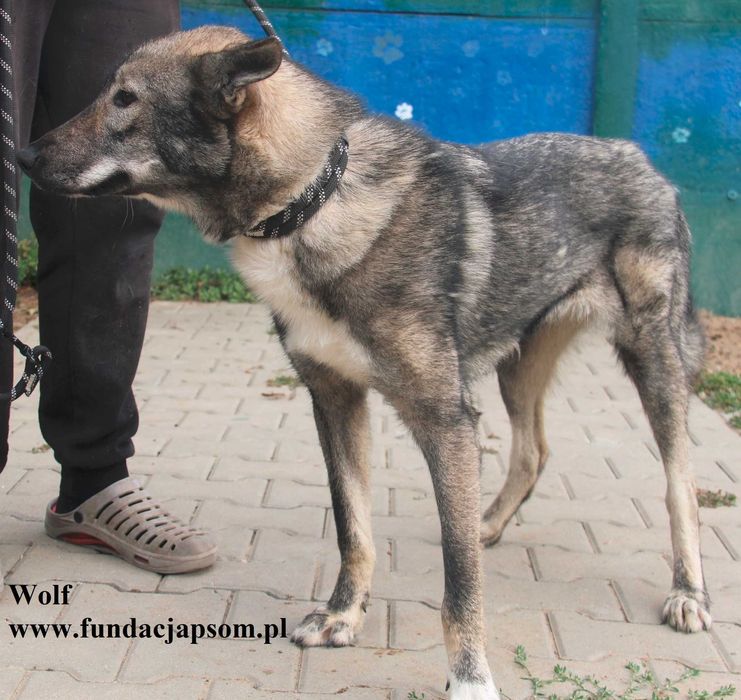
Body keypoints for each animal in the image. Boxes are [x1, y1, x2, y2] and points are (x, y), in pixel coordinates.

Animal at [18, 26, 710, 699]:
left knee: (679, 483)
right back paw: (489, 523)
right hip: (517, 364)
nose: (23, 157)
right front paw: (343, 615)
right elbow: (354, 528)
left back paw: (688, 592)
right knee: (534, 450)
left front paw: (470, 678)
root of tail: (639, 157)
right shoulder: (335, 401)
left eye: (125, 99)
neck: (312, 201)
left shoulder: (445, 420)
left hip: (652, 363)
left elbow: (459, 581)